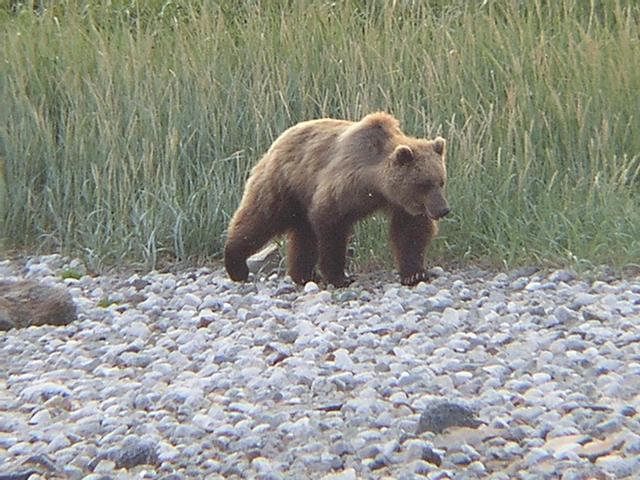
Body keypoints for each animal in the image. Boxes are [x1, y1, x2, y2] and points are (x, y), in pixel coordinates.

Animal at [225, 111, 450, 284]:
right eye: (424, 184)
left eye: (441, 181)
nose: (443, 209)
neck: (377, 185)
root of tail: (278, 140)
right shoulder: (344, 185)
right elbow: (332, 225)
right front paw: (339, 277)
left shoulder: (403, 204)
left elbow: (410, 233)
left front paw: (415, 273)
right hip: (284, 183)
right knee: (261, 217)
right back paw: (236, 265)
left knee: (304, 233)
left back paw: (304, 274)